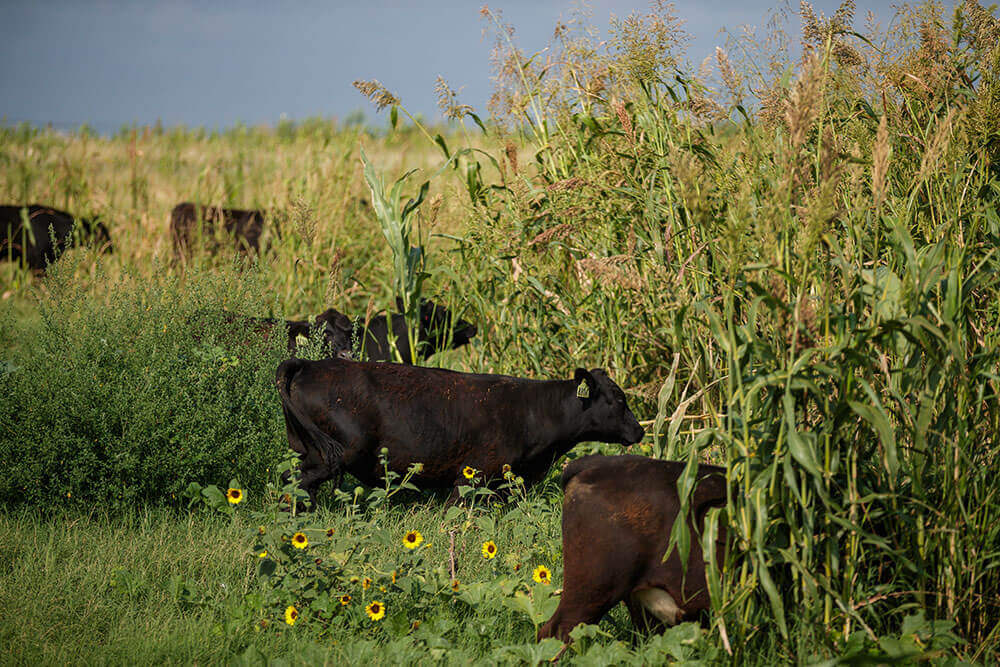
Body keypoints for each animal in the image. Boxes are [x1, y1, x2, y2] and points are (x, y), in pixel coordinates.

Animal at [275, 360, 645, 507]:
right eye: (619, 399)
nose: (640, 431)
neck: (533, 410)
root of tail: (310, 364)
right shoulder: (472, 476)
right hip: (331, 455)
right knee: (295, 483)